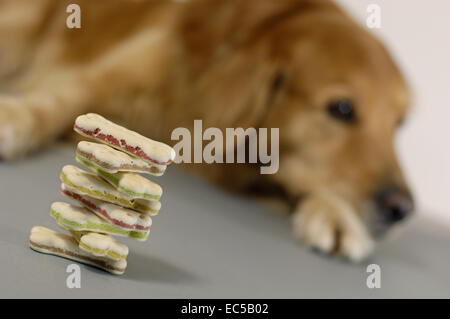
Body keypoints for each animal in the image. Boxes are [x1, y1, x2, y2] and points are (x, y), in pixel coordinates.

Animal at [0, 0, 414, 262]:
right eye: (342, 109)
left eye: (400, 123)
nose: (402, 209)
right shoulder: (105, 77)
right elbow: (57, 100)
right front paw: (14, 115)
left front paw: (337, 214)